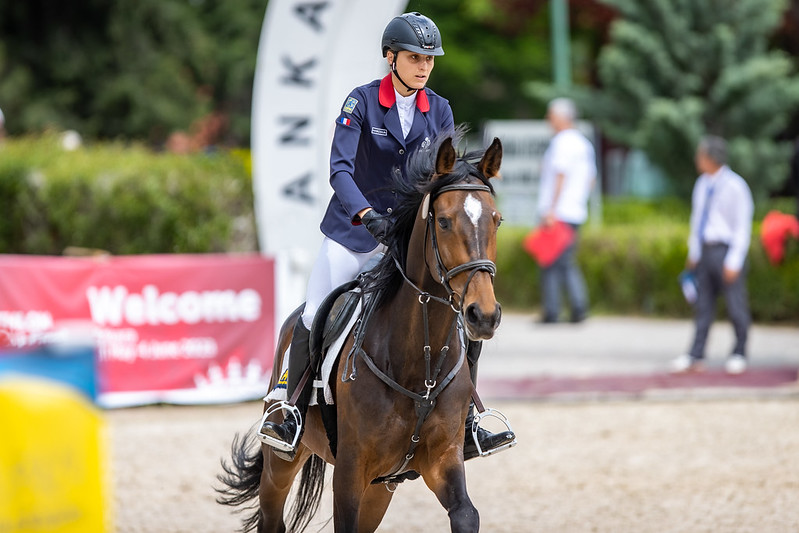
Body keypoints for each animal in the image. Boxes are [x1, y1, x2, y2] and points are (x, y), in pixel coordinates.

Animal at [219, 131, 506, 528]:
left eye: (496, 220)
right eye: (445, 222)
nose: (484, 315)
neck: (418, 363)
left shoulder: (442, 461)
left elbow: (466, 514)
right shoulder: (350, 473)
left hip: (382, 488)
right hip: (281, 461)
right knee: (271, 514)